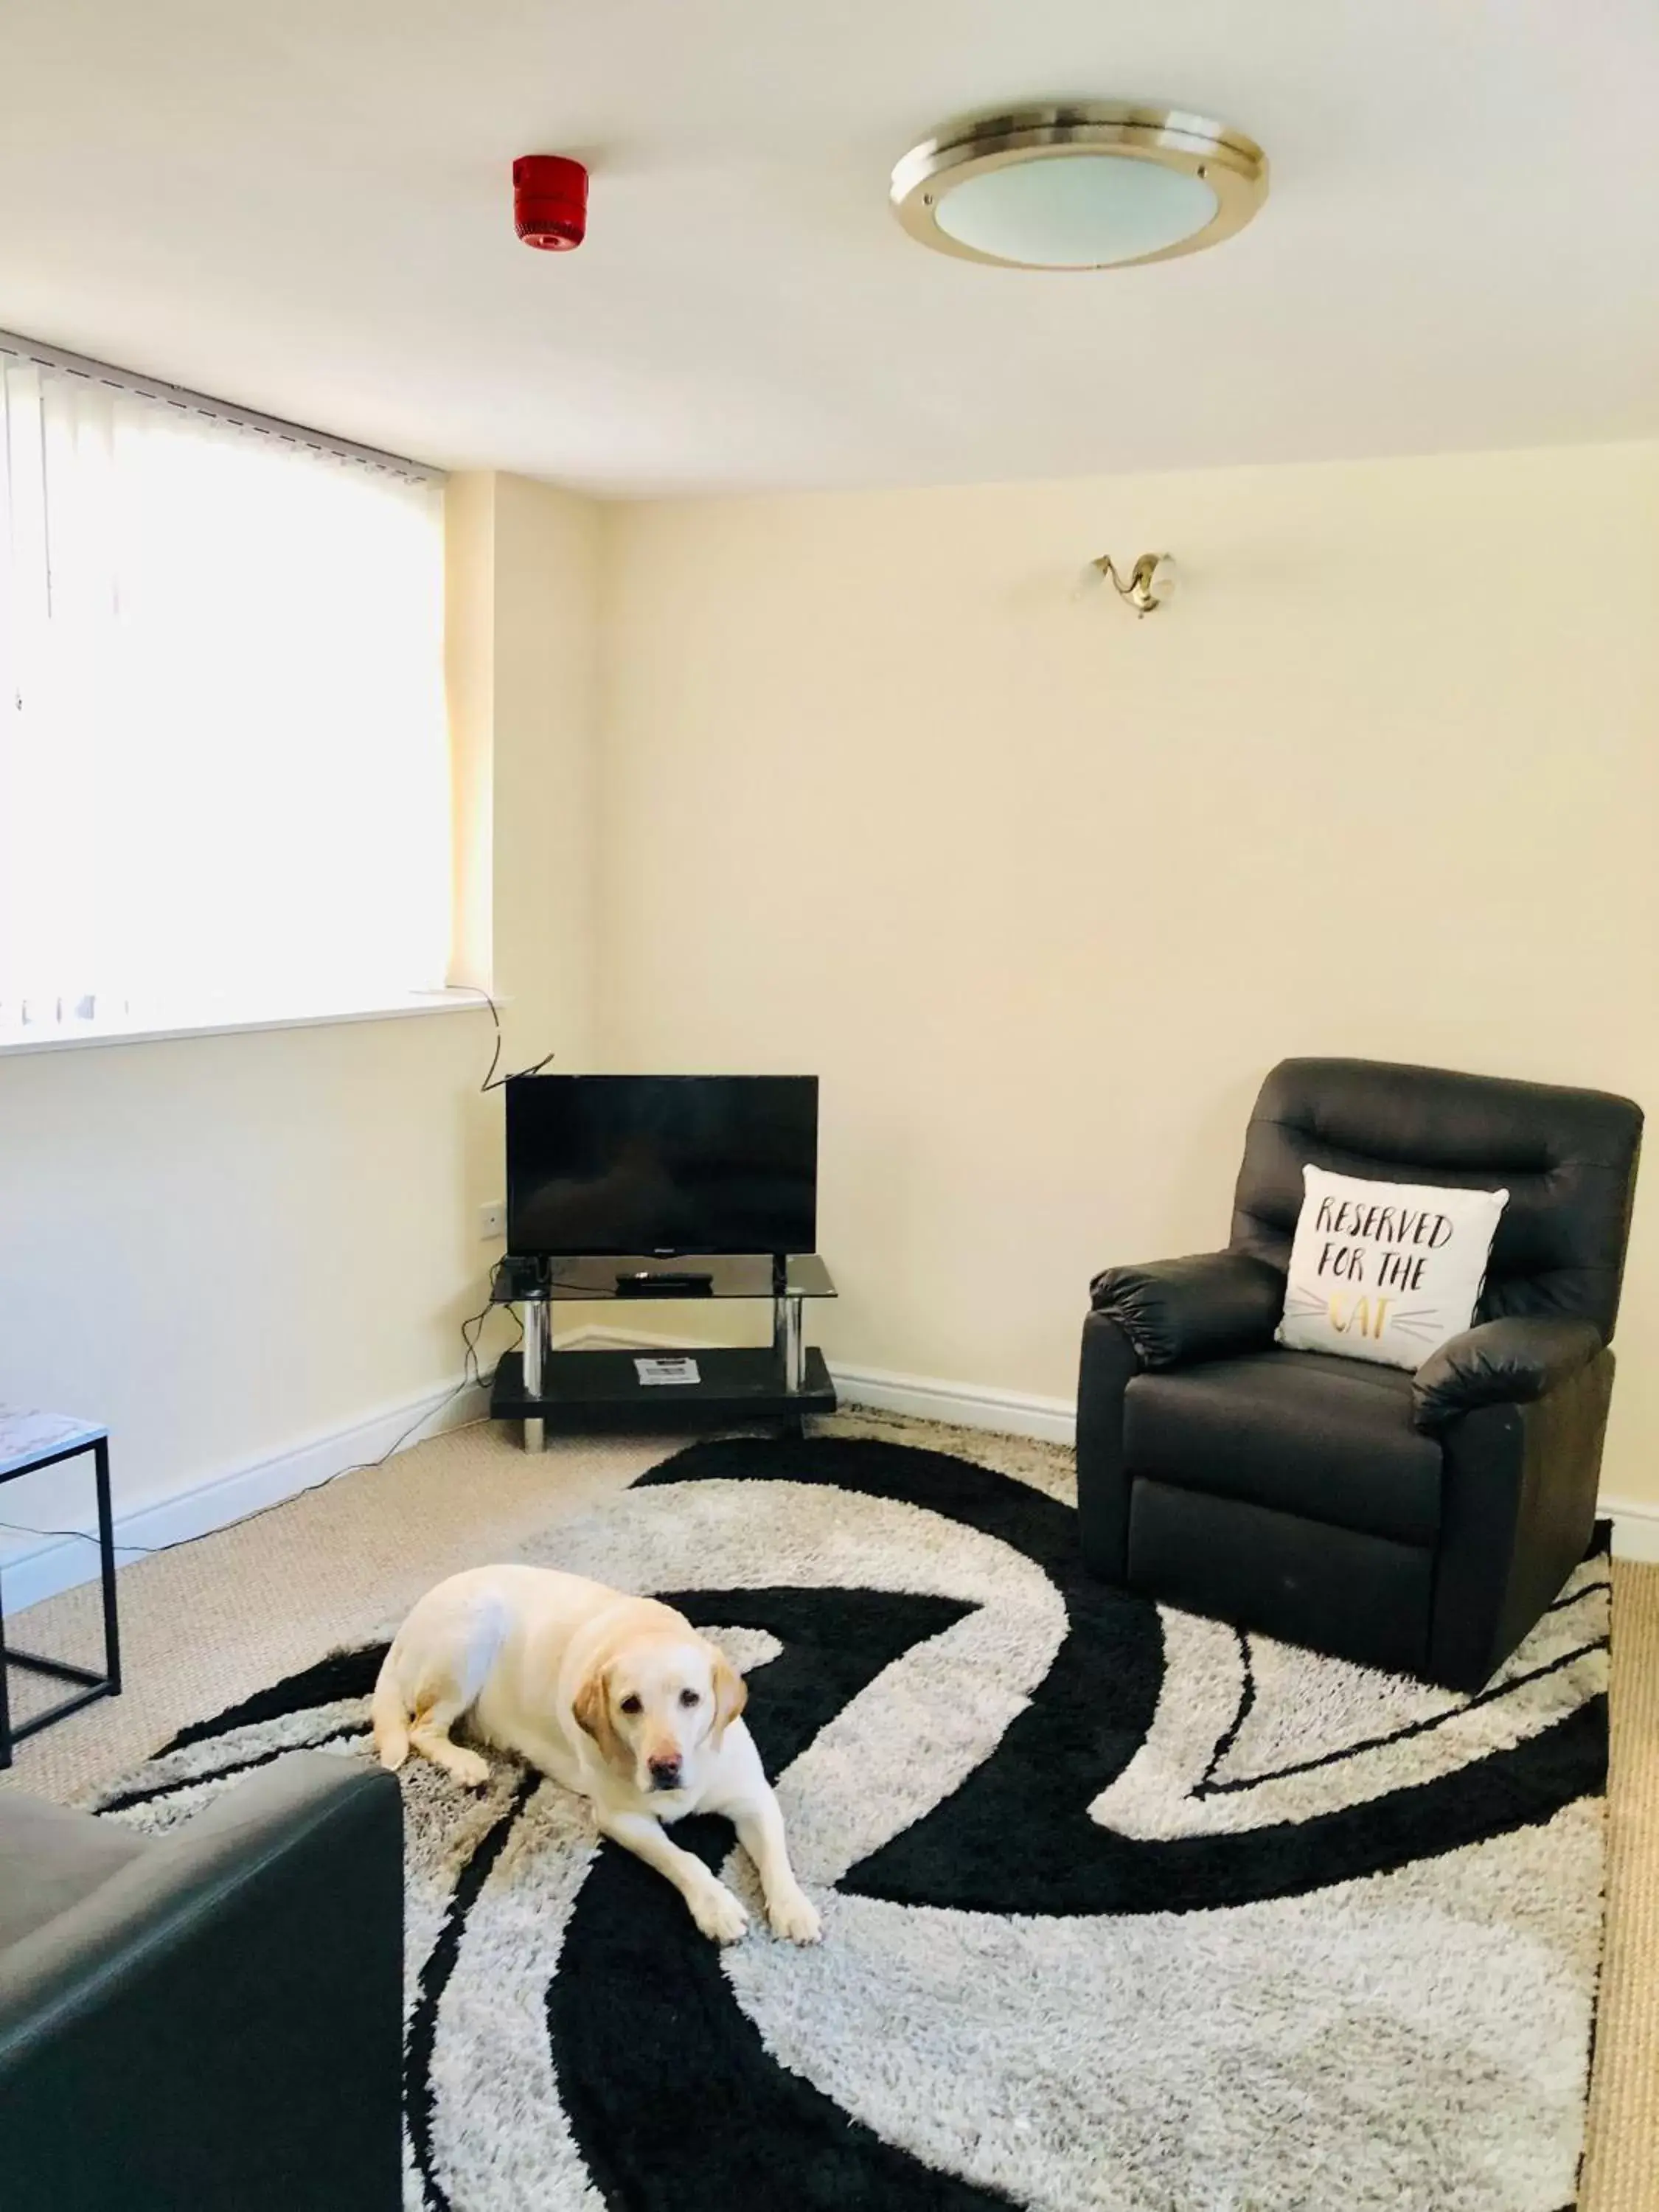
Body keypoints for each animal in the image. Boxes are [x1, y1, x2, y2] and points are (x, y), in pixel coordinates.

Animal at [372, 1566, 827, 1947]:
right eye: (630, 1705)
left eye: (691, 1698)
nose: (665, 1767)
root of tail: (407, 1625)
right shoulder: (621, 1818)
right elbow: (682, 1859)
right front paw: (715, 1905)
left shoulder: (754, 1798)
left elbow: (776, 1857)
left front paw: (793, 1908)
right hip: (470, 1639)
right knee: (421, 1728)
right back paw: (466, 1764)